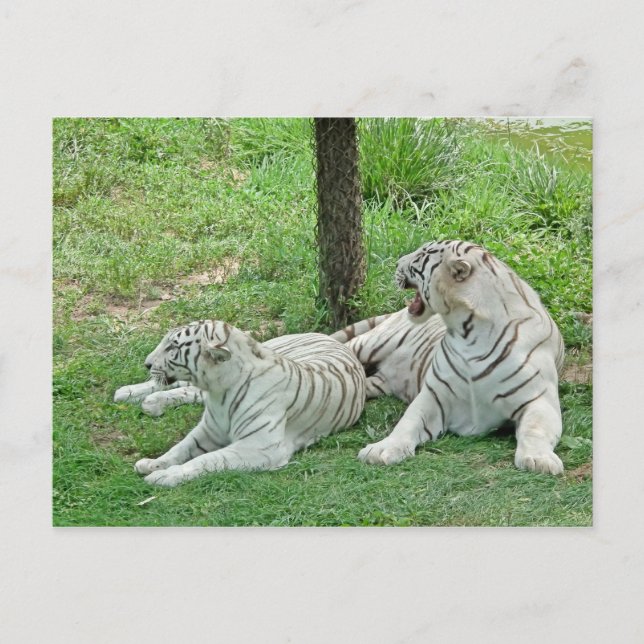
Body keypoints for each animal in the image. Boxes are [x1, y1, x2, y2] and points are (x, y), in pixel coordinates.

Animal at [129, 320, 366, 487]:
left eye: (172, 347)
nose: (146, 363)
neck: (219, 390)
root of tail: (326, 336)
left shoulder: (260, 446)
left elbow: (207, 460)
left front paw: (163, 476)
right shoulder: (209, 431)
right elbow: (179, 449)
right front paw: (152, 463)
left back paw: (149, 402)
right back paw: (132, 394)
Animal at [357, 239, 566, 475]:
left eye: (421, 255)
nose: (396, 263)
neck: (468, 332)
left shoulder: (539, 399)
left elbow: (535, 429)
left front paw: (539, 460)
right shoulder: (434, 395)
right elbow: (407, 422)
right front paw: (381, 450)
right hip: (370, 343)